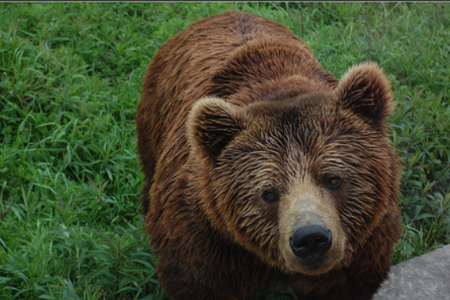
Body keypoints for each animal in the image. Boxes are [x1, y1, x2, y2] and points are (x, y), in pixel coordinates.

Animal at [135, 10, 402, 298]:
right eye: (269, 193)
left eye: (334, 179)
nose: (311, 239)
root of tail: (224, 13)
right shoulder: (207, 241)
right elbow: (196, 279)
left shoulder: (364, 244)